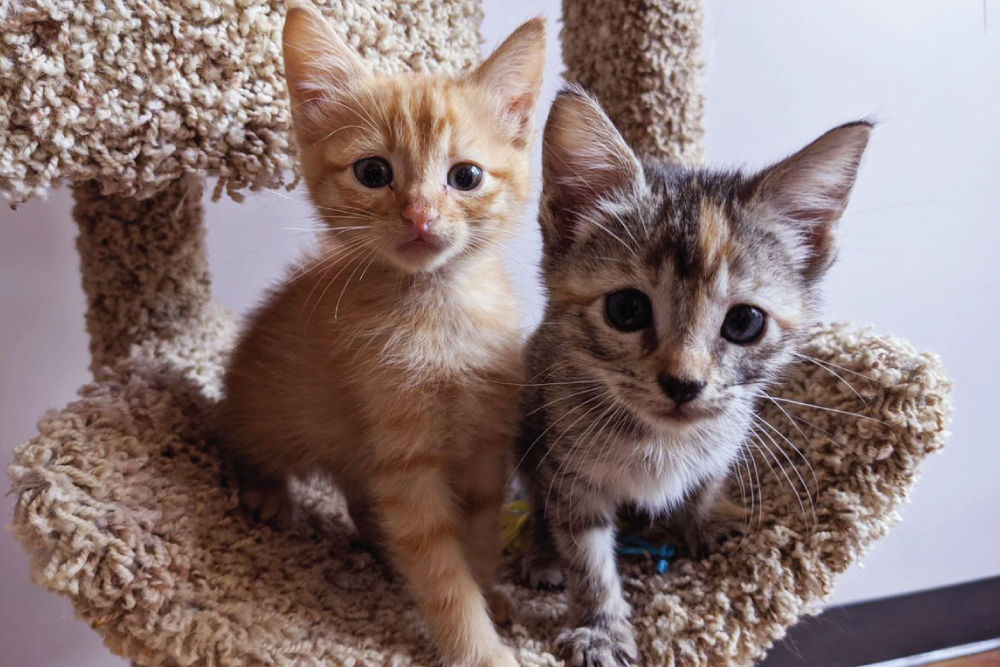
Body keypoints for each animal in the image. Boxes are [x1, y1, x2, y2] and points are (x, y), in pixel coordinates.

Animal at [215, 5, 548, 667]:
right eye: (373, 173)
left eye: (465, 176)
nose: (419, 215)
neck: (438, 311)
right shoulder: (404, 463)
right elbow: (440, 568)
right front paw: (480, 647)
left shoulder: (485, 444)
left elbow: (476, 534)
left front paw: (491, 593)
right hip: (271, 411)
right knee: (244, 438)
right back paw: (265, 492)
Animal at [520, 86, 872, 664]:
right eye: (626, 310)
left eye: (745, 322)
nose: (684, 384)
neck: (661, 442)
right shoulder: (568, 467)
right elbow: (587, 554)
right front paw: (599, 627)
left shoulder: (728, 433)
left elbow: (707, 479)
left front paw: (706, 520)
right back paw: (541, 552)